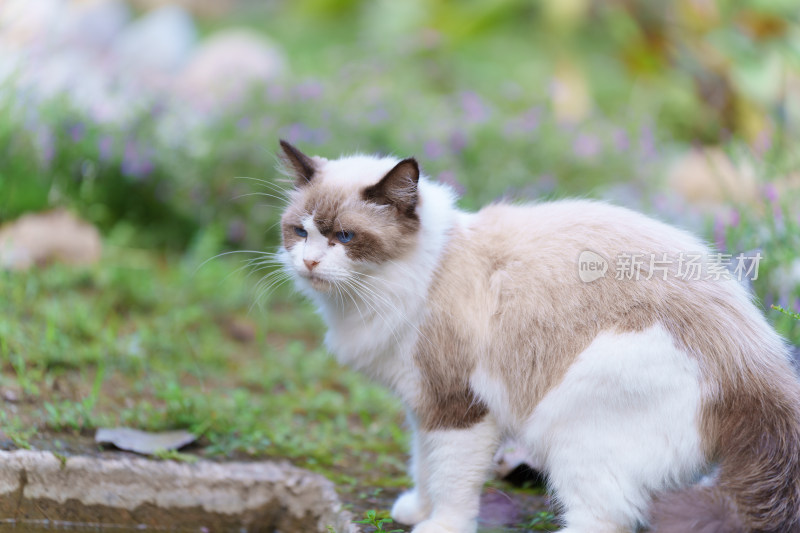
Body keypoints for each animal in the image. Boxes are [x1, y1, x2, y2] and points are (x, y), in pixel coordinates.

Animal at [276, 139, 800, 528]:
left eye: (345, 238)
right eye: (301, 232)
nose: (310, 263)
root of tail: (760, 367)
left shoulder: (458, 407)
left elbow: (451, 482)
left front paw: (437, 524)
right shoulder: (421, 400)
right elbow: (423, 464)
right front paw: (416, 511)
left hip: (575, 428)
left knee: (604, 518)